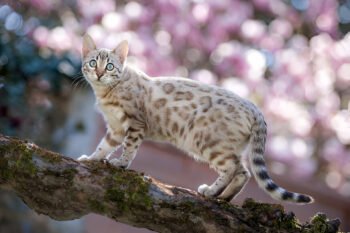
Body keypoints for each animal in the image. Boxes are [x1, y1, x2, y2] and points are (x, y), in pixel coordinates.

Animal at [78, 34, 314, 204]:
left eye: (109, 66)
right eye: (93, 63)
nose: (99, 73)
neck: (106, 92)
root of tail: (255, 108)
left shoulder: (136, 123)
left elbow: (129, 148)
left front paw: (121, 163)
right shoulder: (116, 128)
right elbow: (103, 146)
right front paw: (90, 159)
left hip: (206, 142)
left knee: (233, 168)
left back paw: (211, 191)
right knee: (244, 171)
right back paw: (222, 196)